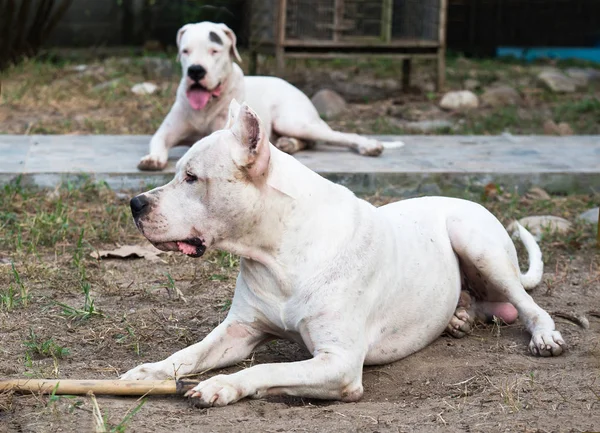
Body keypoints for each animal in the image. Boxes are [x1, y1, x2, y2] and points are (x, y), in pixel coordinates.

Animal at [123, 99, 568, 406]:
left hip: (476, 243)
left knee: (528, 305)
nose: (135, 203)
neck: (279, 254)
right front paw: (150, 371)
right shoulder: (239, 331)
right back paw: (459, 318)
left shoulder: (339, 363)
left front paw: (221, 384)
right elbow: (190, 352)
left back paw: (543, 335)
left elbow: (267, 367)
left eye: (192, 177)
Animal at [137, 21, 390, 170]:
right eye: (185, 51)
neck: (207, 106)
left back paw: (369, 145)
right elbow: (157, 141)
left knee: (336, 135)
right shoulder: (166, 132)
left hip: (293, 121)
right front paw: (153, 159)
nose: (196, 71)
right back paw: (288, 143)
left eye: (214, 51)